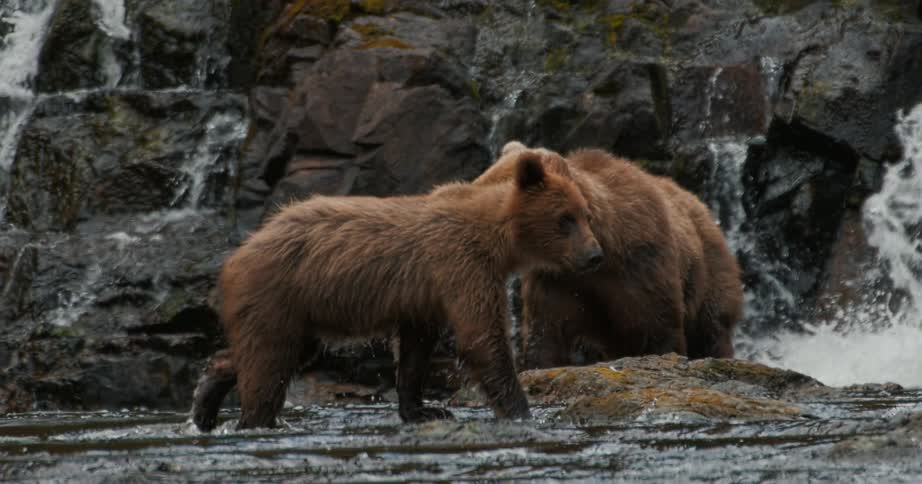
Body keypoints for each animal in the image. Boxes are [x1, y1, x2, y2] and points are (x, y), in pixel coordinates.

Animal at [190, 150, 603, 431]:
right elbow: (482, 337)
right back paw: (255, 420)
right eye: (566, 219)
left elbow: (416, 349)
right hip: (277, 294)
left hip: (297, 311)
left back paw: (206, 399)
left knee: (273, 353)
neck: (497, 238)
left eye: (586, 214)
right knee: (268, 363)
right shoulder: (461, 266)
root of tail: (239, 252)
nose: (595, 254)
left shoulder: (426, 296)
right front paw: (521, 411)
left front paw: (423, 408)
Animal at [474, 142, 743, 368]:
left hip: (709, 268)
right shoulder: (558, 282)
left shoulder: (643, 264)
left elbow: (660, 327)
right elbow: (546, 335)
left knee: (711, 326)